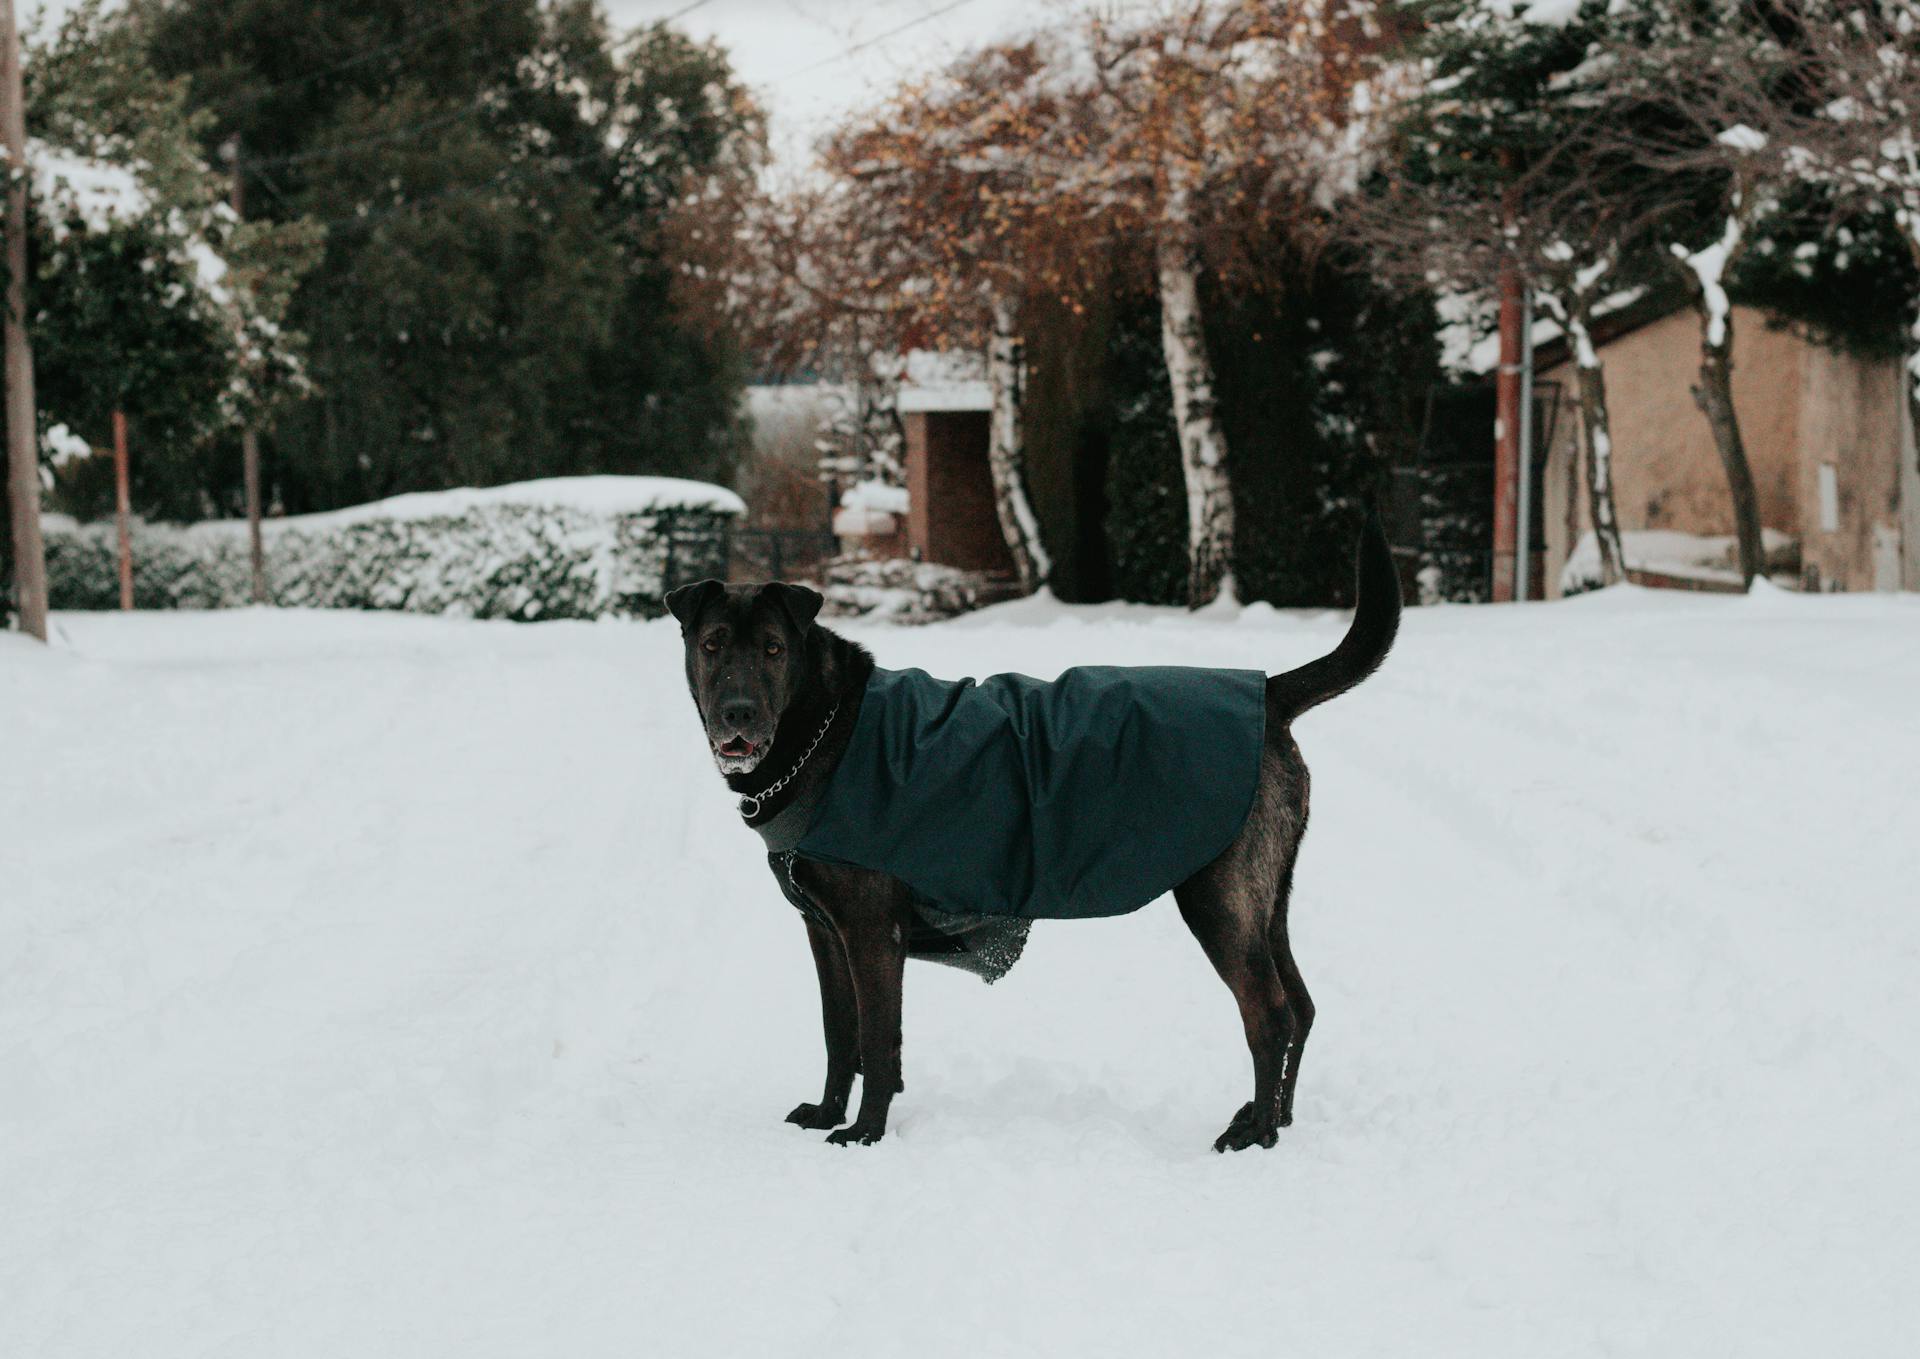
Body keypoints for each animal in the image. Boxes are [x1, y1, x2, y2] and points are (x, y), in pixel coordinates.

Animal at [668, 518, 1405, 1144]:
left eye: (773, 649)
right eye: (712, 646)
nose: (738, 713)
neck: (822, 731)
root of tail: (1268, 692)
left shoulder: (872, 928)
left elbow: (877, 1040)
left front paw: (865, 1133)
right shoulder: (824, 929)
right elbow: (837, 1033)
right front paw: (826, 1113)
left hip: (1218, 899)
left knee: (1270, 1014)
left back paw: (1255, 1134)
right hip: (1265, 898)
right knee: (1301, 1007)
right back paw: (1273, 1118)